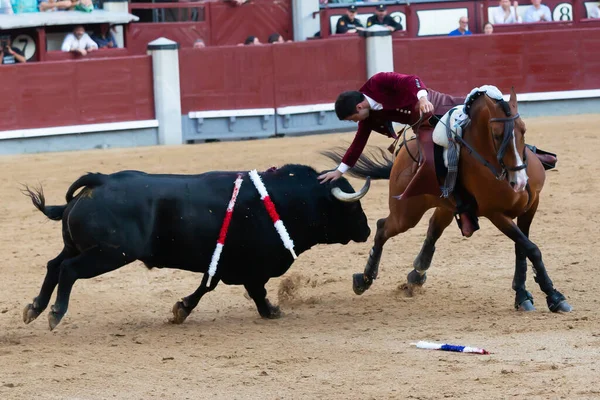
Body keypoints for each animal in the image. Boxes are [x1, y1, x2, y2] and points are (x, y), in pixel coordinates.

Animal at [22, 164, 370, 330]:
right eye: (352, 206)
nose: (367, 229)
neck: (285, 201)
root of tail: (100, 180)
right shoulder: (249, 266)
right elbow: (252, 290)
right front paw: (272, 311)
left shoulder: (223, 260)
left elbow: (207, 284)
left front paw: (181, 310)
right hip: (108, 253)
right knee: (68, 270)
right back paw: (54, 313)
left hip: (79, 247)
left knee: (54, 265)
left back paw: (34, 308)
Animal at [324, 87, 572, 312]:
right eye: (497, 134)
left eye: (523, 129)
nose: (519, 182)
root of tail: (403, 152)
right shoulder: (496, 214)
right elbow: (530, 248)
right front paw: (553, 296)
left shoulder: (531, 206)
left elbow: (522, 249)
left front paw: (525, 295)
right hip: (406, 213)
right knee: (383, 227)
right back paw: (364, 279)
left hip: (444, 205)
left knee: (433, 228)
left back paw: (416, 275)